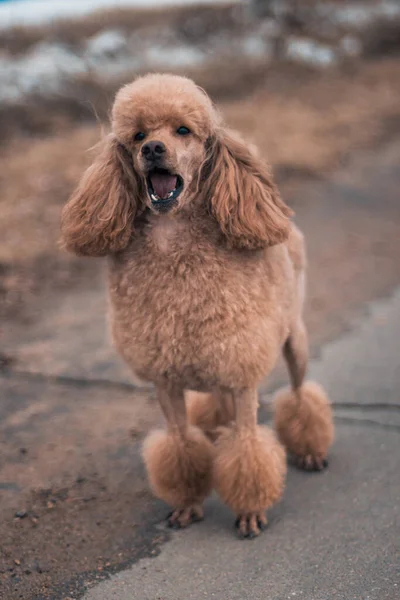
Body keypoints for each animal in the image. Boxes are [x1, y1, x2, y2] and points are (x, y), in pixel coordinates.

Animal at [61, 72, 332, 536]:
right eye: (137, 136)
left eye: (183, 130)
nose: (153, 149)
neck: (175, 247)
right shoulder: (166, 379)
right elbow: (181, 444)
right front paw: (187, 502)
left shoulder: (242, 376)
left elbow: (247, 446)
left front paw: (249, 511)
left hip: (293, 339)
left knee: (300, 392)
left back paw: (311, 449)